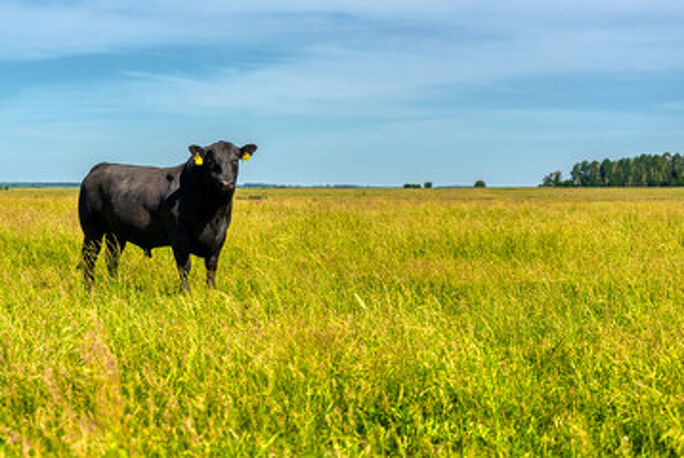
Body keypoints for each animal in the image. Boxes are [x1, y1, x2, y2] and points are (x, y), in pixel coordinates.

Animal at [78, 140, 257, 290]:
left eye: (235, 160)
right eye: (211, 161)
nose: (225, 183)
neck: (212, 216)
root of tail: (100, 167)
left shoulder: (219, 238)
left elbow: (211, 267)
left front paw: (212, 291)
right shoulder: (179, 237)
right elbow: (185, 267)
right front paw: (185, 292)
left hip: (116, 234)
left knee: (112, 259)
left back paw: (114, 285)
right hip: (92, 230)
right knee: (89, 258)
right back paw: (89, 288)